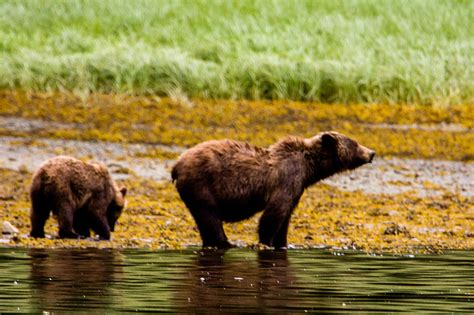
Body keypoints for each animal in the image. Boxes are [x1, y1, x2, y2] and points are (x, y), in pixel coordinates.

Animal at [172, 131, 376, 249]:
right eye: (355, 143)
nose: (372, 153)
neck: (309, 168)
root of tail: (176, 164)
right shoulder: (286, 180)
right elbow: (273, 214)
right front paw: (266, 242)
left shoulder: (297, 188)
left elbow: (285, 217)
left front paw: (284, 244)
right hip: (202, 185)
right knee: (210, 218)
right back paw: (226, 243)